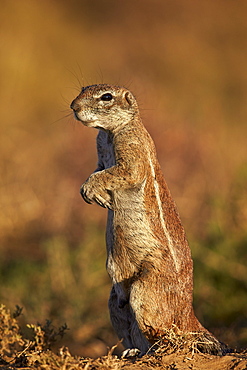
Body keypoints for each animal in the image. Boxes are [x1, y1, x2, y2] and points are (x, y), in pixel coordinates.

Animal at [70, 83, 224, 356]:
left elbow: (120, 172)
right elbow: (98, 169)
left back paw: (160, 349)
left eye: (106, 97)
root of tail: (189, 315)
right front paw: (94, 194)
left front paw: (91, 189)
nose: (73, 107)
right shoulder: (100, 152)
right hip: (114, 302)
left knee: (166, 334)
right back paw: (132, 352)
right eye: (83, 89)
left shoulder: (132, 151)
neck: (109, 133)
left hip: (145, 290)